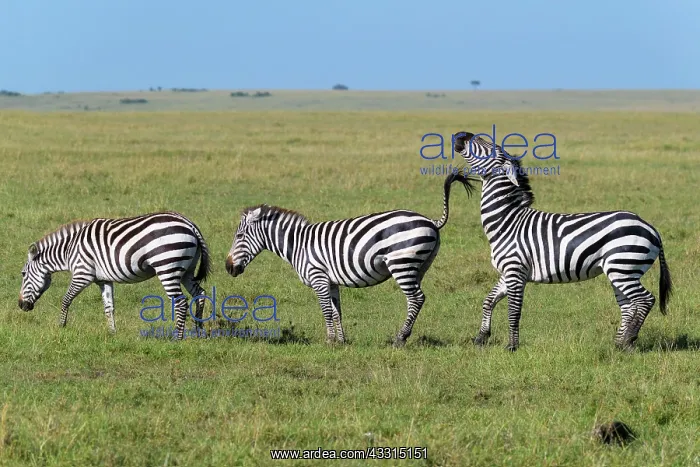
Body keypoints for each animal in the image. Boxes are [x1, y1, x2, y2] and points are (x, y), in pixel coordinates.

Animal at [18, 211, 211, 339]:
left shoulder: (82, 274)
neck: (69, 250)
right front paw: (112, 333)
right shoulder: (103, 280)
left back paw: (178, 338)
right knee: (200, 294)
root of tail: (189, 224)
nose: (20, 305)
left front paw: (61, 326)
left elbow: (66, 300)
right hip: (186, 270)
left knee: (181, 302)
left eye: (23, 274)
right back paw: (199, 331)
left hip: (167, 267)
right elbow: (108, 307)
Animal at [224, 174, 476, 346]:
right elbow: (337, 311)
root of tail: (431, 221)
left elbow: (326, 310)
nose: (228, 267)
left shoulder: (318, 277)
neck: (298, 244)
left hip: (401, 263)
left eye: (239, 236)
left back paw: (400, 339)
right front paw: (341, 341)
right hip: (419, 266)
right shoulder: (331, 281)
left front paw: (329, 341)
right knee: (417, 299)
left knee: (416, 299)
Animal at [451, 131, 672, 351]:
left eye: (489, 147)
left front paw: (512, 346)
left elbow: (514, 312)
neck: (508, 221)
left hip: (623, 266)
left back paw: (628, 339)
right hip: (621, 271)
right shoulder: (509, 273)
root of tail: (650, 227)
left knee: (645, 300)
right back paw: (620, 344)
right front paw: (481, 337)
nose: (462, 135)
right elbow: (489, 300)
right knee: (628, 305)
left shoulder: (515, 271)